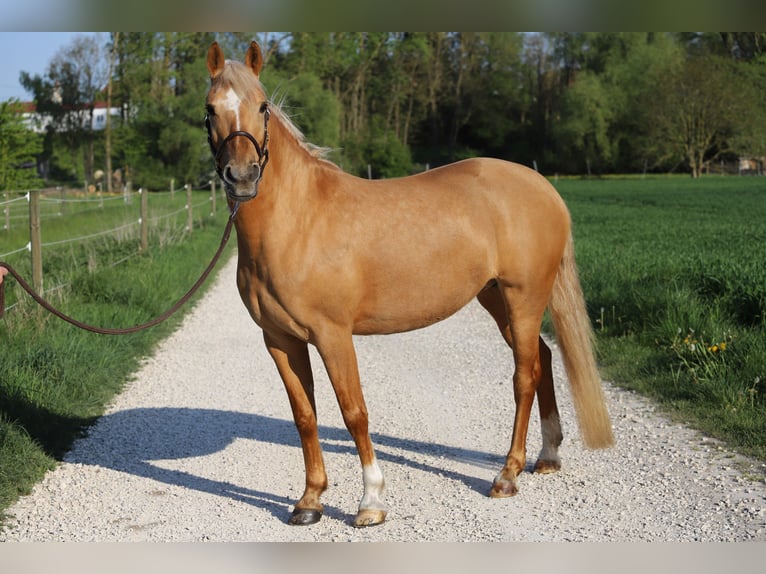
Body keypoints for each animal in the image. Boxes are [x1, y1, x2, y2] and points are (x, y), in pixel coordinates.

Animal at [204, 39, 612, 528]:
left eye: (262, 106)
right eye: (209, 110)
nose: (242, 176)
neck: (298, 220)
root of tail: (542, 186)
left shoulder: (333, 335)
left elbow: (354, 412)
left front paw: (370, 502)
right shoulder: (280, 339)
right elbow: (305, 415)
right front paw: (309, 501)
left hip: (524, 297)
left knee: (524, 375)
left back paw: (507, 475)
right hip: (496, 298)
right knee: (544, 360)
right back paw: (547, 456)